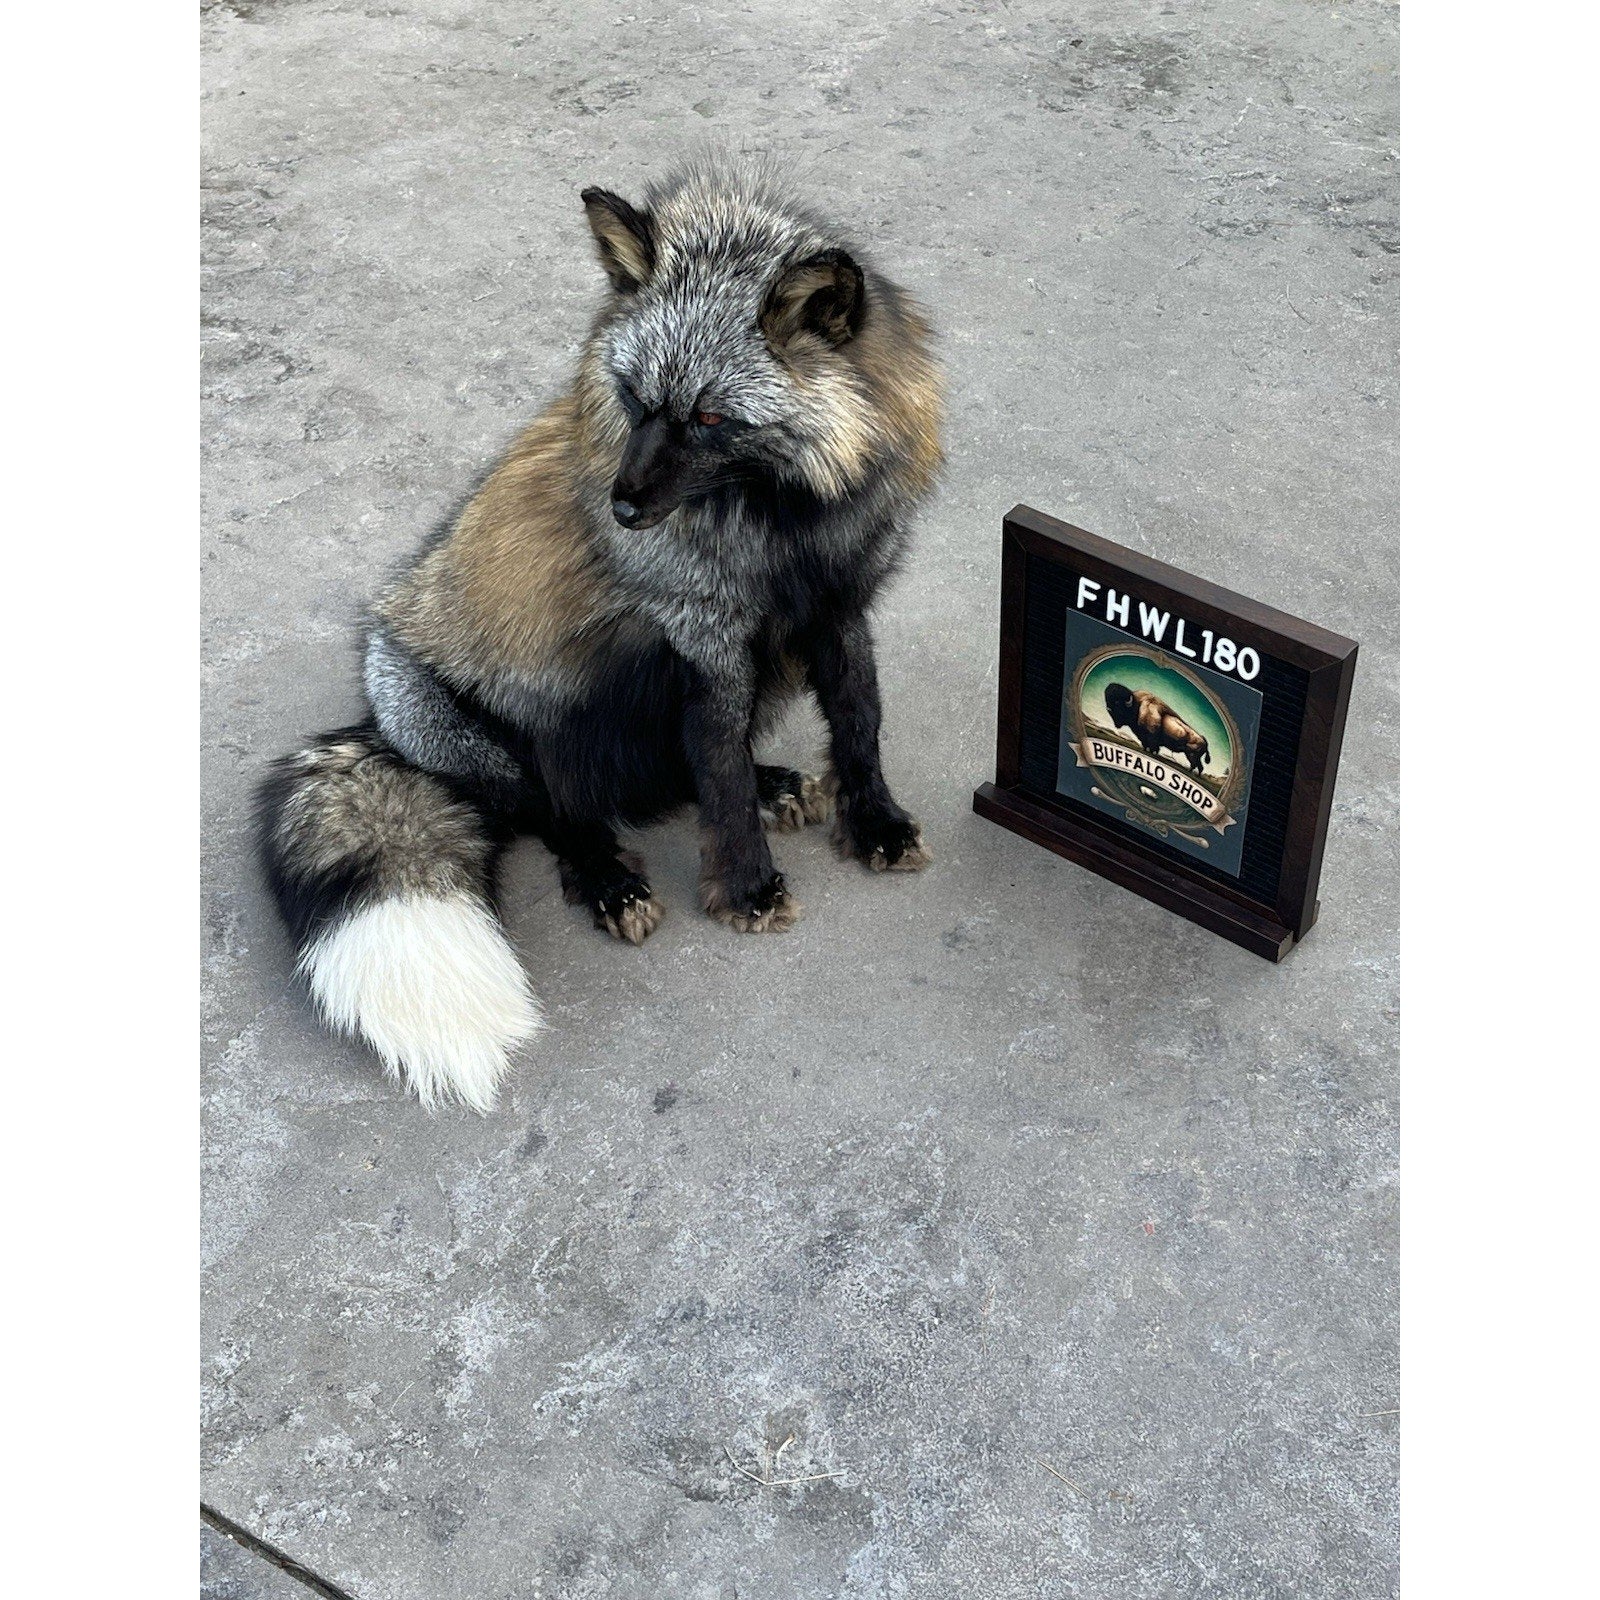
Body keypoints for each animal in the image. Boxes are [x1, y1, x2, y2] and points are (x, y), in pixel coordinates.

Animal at [256, 160, 945, 1112]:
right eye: (636, 399)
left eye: (709, 419)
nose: (619, 507)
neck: (786, 531)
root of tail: (376, 726)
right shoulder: (706, 638)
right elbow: (721, 777)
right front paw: (747, 888)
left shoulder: (837, 610)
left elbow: (857, 727)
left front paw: (873, 823)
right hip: (492, 739)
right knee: (564, 812)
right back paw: (609, 877)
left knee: (662, 778)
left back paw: (772, 784)